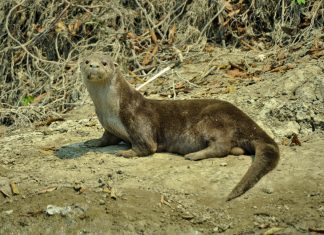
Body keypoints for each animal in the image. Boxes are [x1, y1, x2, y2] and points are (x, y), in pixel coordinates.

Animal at [79, 52, 280, 201]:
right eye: (87, 61)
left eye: (104, 63)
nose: (94, 66)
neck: (110, 110)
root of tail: (247, 121)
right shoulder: (109, 126)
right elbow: (106, 138)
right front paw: (93, 142)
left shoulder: (137, 119)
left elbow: (146, 146)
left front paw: (126, 152)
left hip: (214, 120)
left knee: (221, 146)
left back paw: (194, 155)